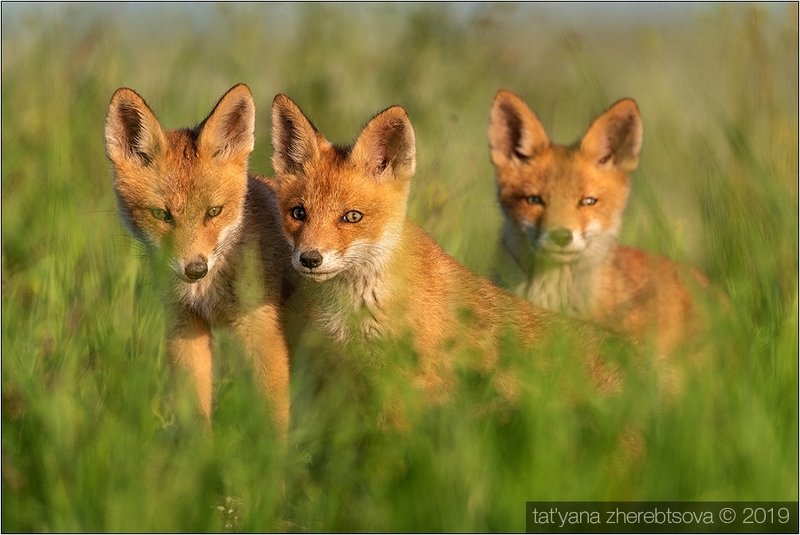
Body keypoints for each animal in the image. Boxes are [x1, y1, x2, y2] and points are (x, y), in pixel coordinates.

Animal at [104, 84, 296, 437]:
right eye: (161, 215)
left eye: (214, 212)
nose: (195, 269)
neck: (208, 292)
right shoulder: (184, 326)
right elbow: (194, 416)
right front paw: (197, 453)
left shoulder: (262, 332)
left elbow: (274, 422)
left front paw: (274, 454)